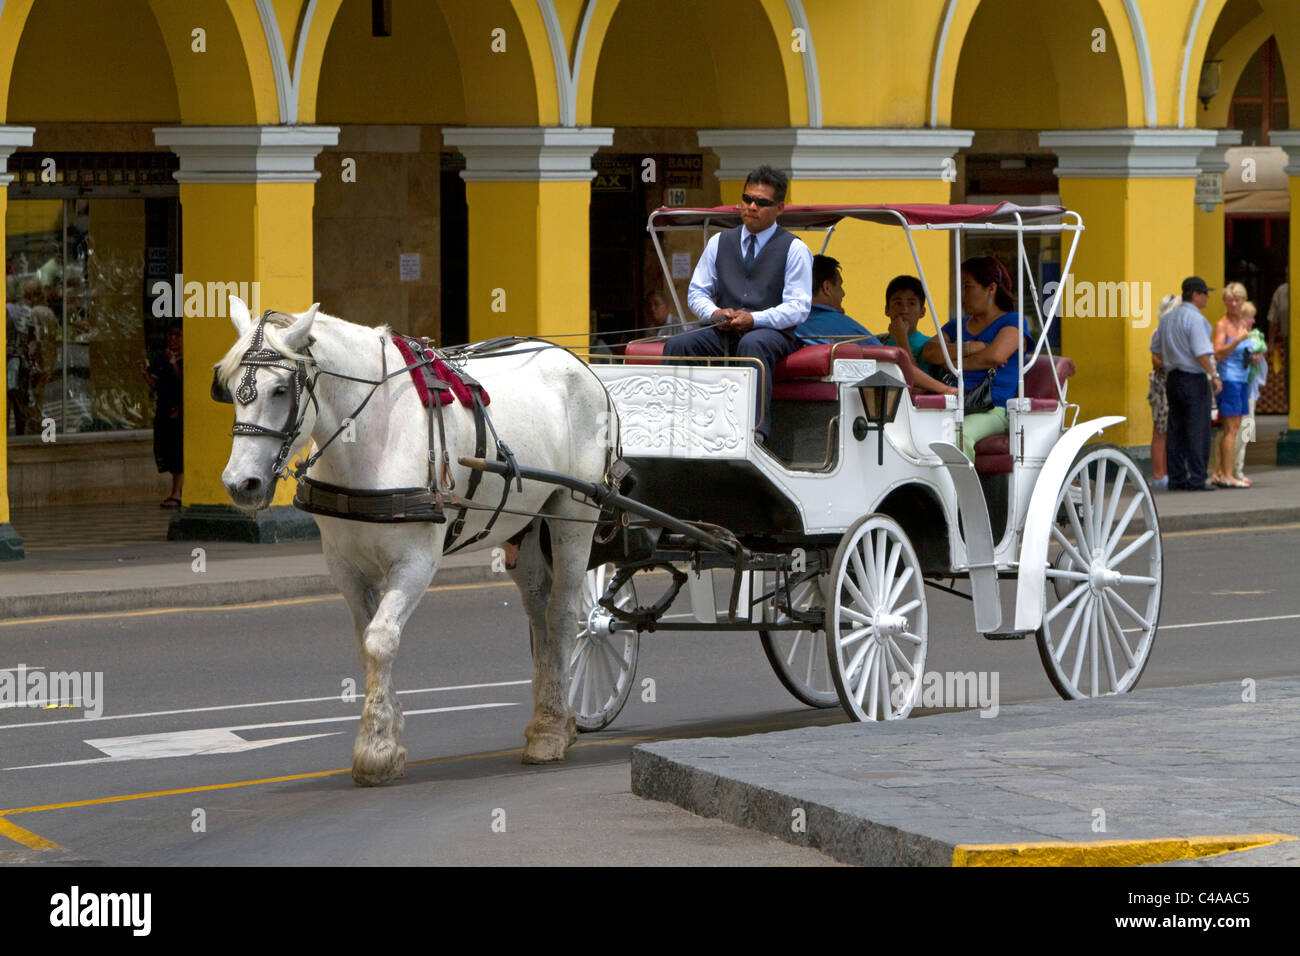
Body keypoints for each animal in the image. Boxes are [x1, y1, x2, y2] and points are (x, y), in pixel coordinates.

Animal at [215, 299, 611, 785]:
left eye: (279, 390)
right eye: (230, 389)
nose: (241, 484)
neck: (370, 437)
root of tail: (579, 363)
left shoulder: (416, 562)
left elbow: (381, 639)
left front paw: (376, 747)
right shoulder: (345, 566)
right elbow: (365, 646)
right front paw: (387, 732)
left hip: (575, 514)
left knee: (563, 614)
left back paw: (551, 731)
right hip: (528, 523)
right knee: (539, 613)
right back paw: (550, 719)